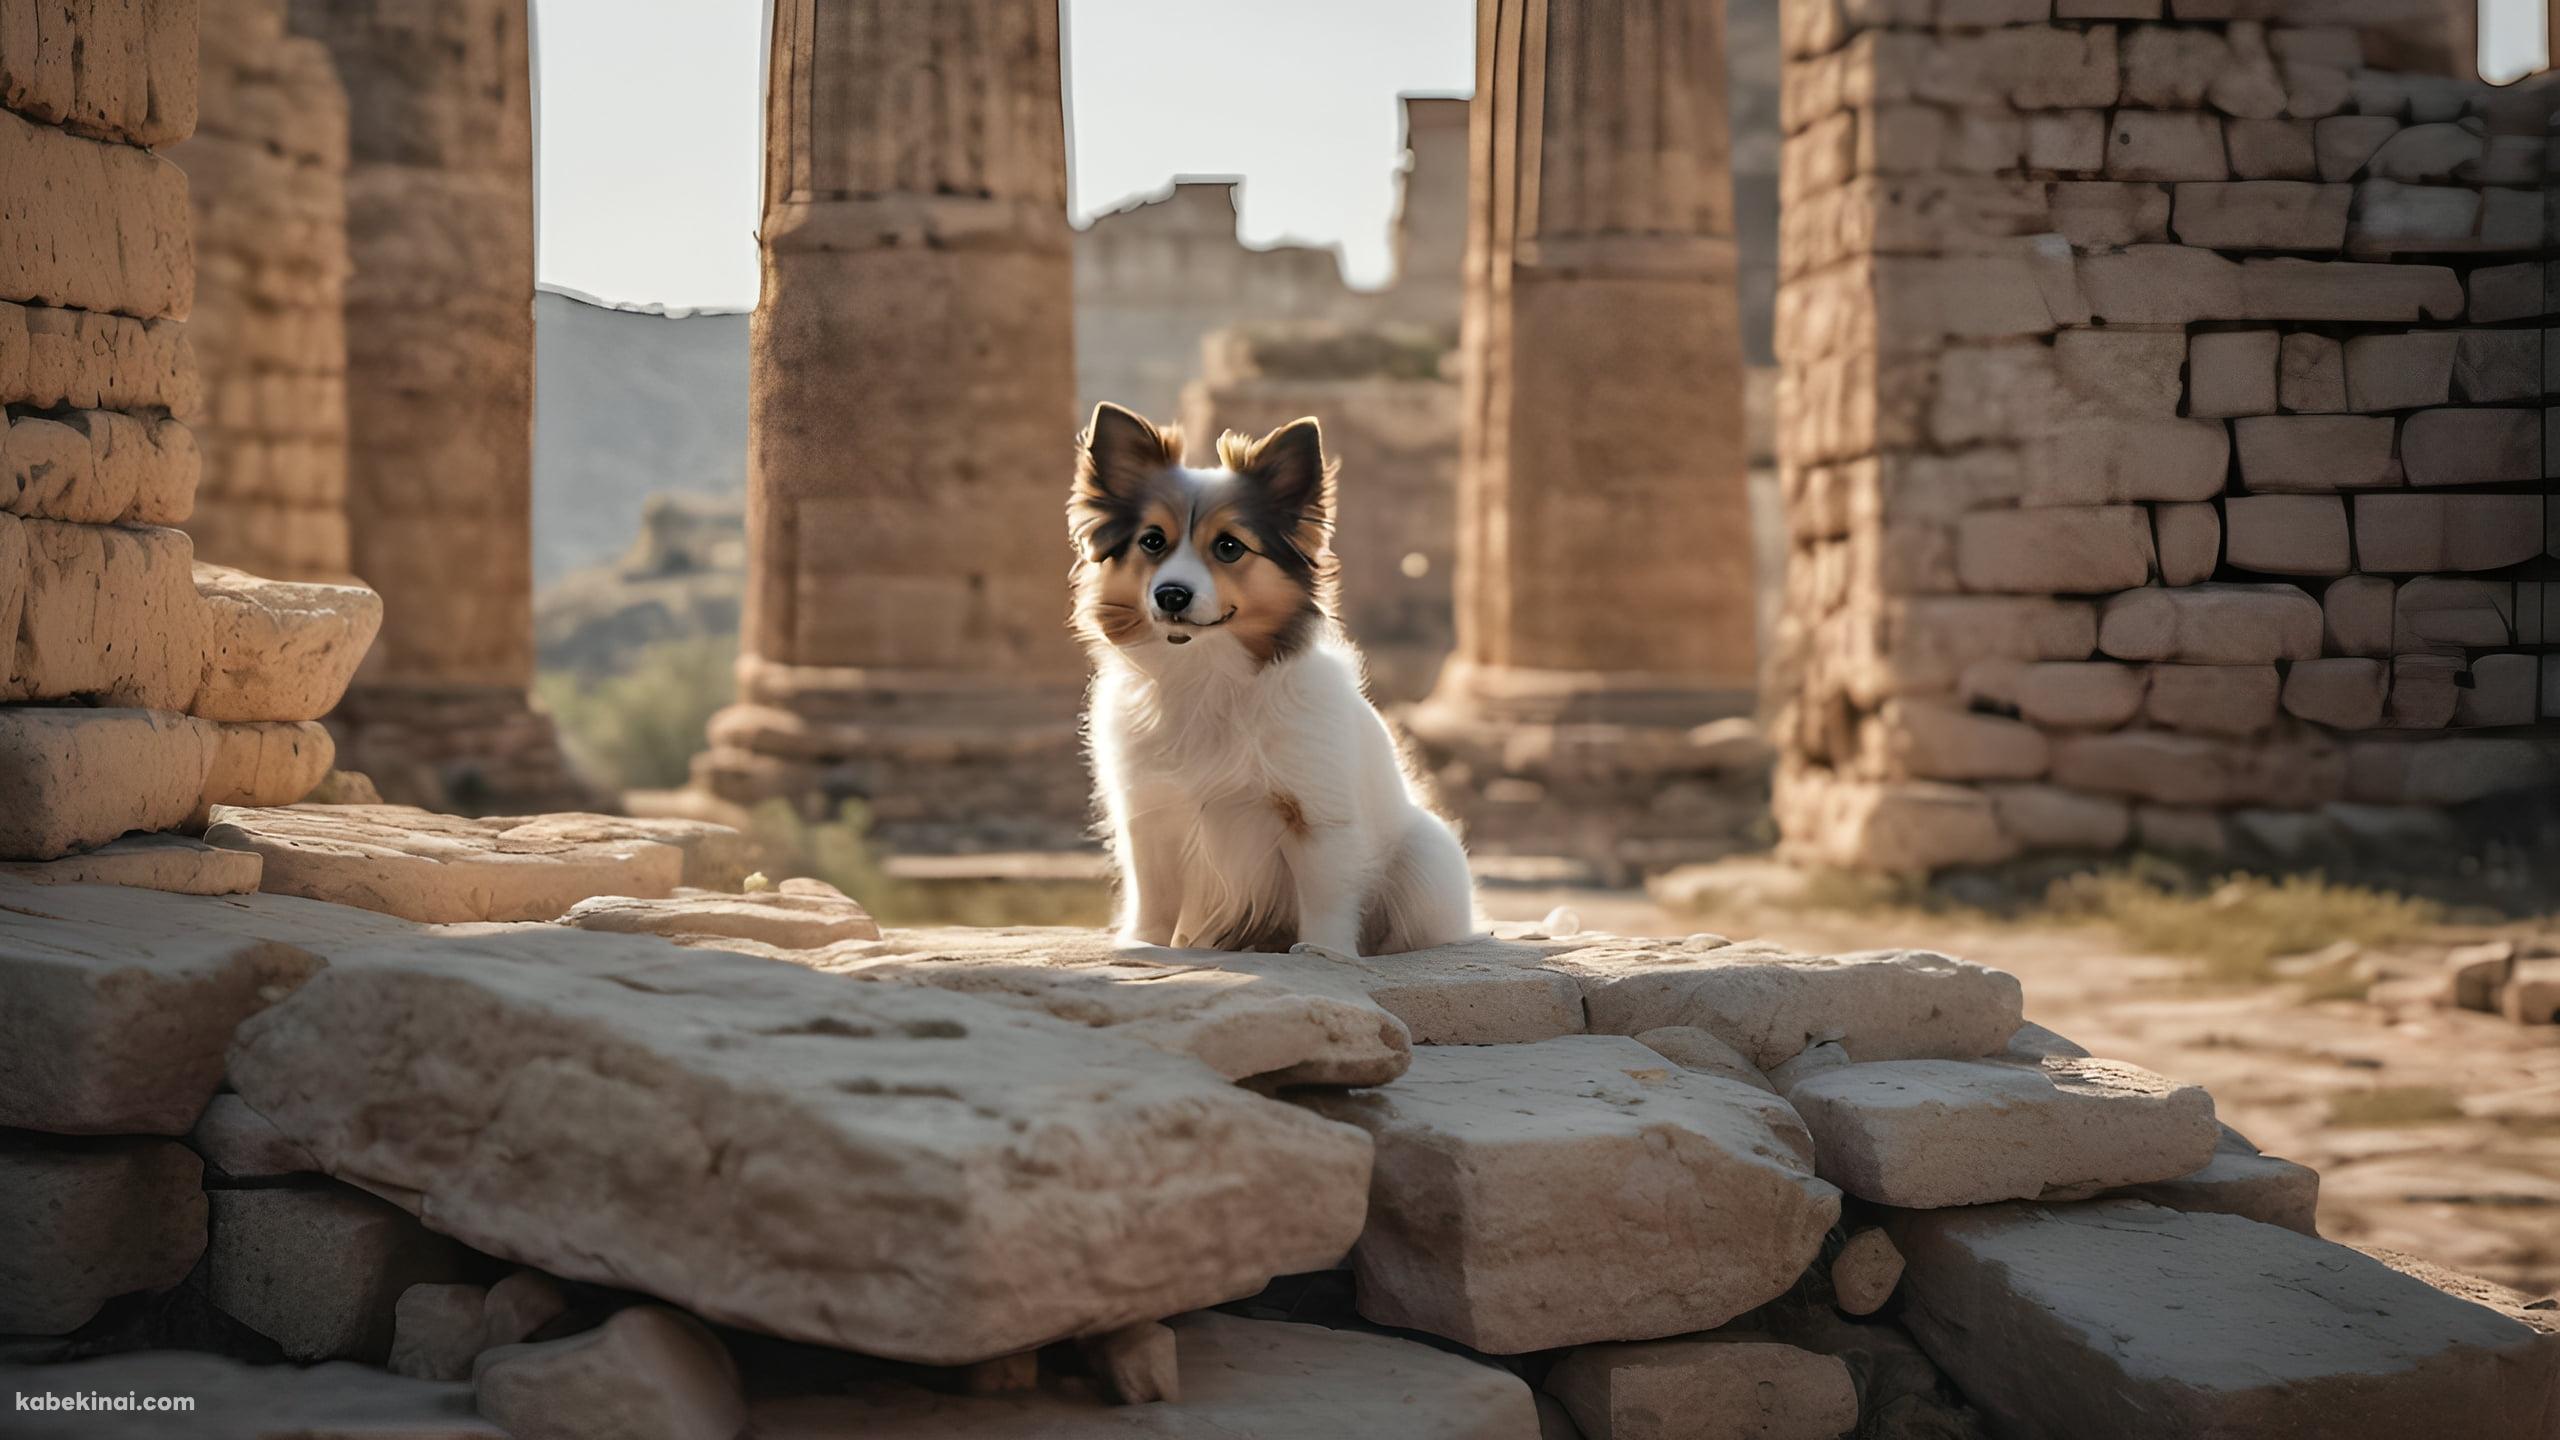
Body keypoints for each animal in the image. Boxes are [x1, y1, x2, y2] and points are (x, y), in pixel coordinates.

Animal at [1070, 394, 1484, 953]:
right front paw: (1143, 947)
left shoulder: (1317, 815)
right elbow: (1154, 895)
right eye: (1152, 541)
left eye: (1229, 546)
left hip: (1425, 862)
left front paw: (1324, 953)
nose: (1171, 595)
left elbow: (1326, 895)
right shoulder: (1149, 813)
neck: (1207, 672)